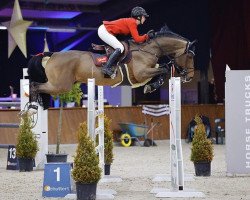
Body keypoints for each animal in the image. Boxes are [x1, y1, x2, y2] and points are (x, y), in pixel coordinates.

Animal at [26, 25, 195, 111]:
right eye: (190, 56)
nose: (190, 77)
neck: (147, 50)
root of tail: (52, 54)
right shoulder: (141, 74)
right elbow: (164, 70)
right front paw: (151, 86)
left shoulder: (148, 72)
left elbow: (161, 71)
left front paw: (151, 86)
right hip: (60, 85)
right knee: (35, 85)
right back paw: (33, 105)